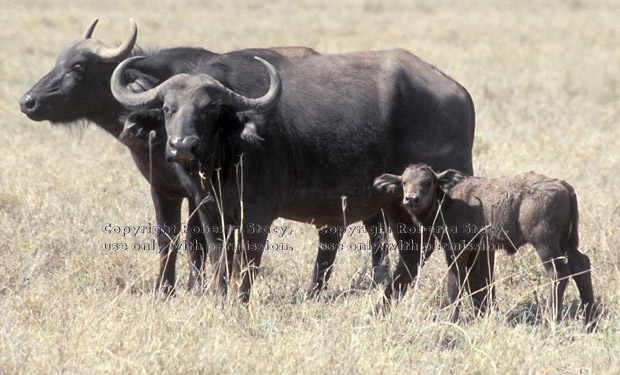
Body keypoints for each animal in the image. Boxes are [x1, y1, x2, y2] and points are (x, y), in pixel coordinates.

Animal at [19, 19, 390, 296]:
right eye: (57, 63)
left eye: (78, 66)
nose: (28, 101)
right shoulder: (163, 188)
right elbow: (167, 238)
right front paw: (164, 289)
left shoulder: (199, 193)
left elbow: (195, 240)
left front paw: (197, 288)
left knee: (362, 228)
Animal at [110, 47, 480, 308]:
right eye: (168, 108)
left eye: (211, 108)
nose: (182, 146)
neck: (225, 157)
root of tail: (459, 93)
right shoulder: (209, 212)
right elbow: (218, 262)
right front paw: (219, 302)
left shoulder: (256, 215)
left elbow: (246, 265)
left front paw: (239, 305)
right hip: (398, 201)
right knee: (413, 249)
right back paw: (382, 305)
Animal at [372, 164, 596, 328]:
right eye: (404, 181)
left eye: (428, 182)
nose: (411, 198)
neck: (447, 200)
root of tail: (563, 185)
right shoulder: (473, 250)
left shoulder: (456, 250)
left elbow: (454, 285)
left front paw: (451, 319)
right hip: (565, 242)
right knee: (581, 265)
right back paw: (589, 318)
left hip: (545, 243)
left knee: (558, 272)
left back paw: (550, 319)